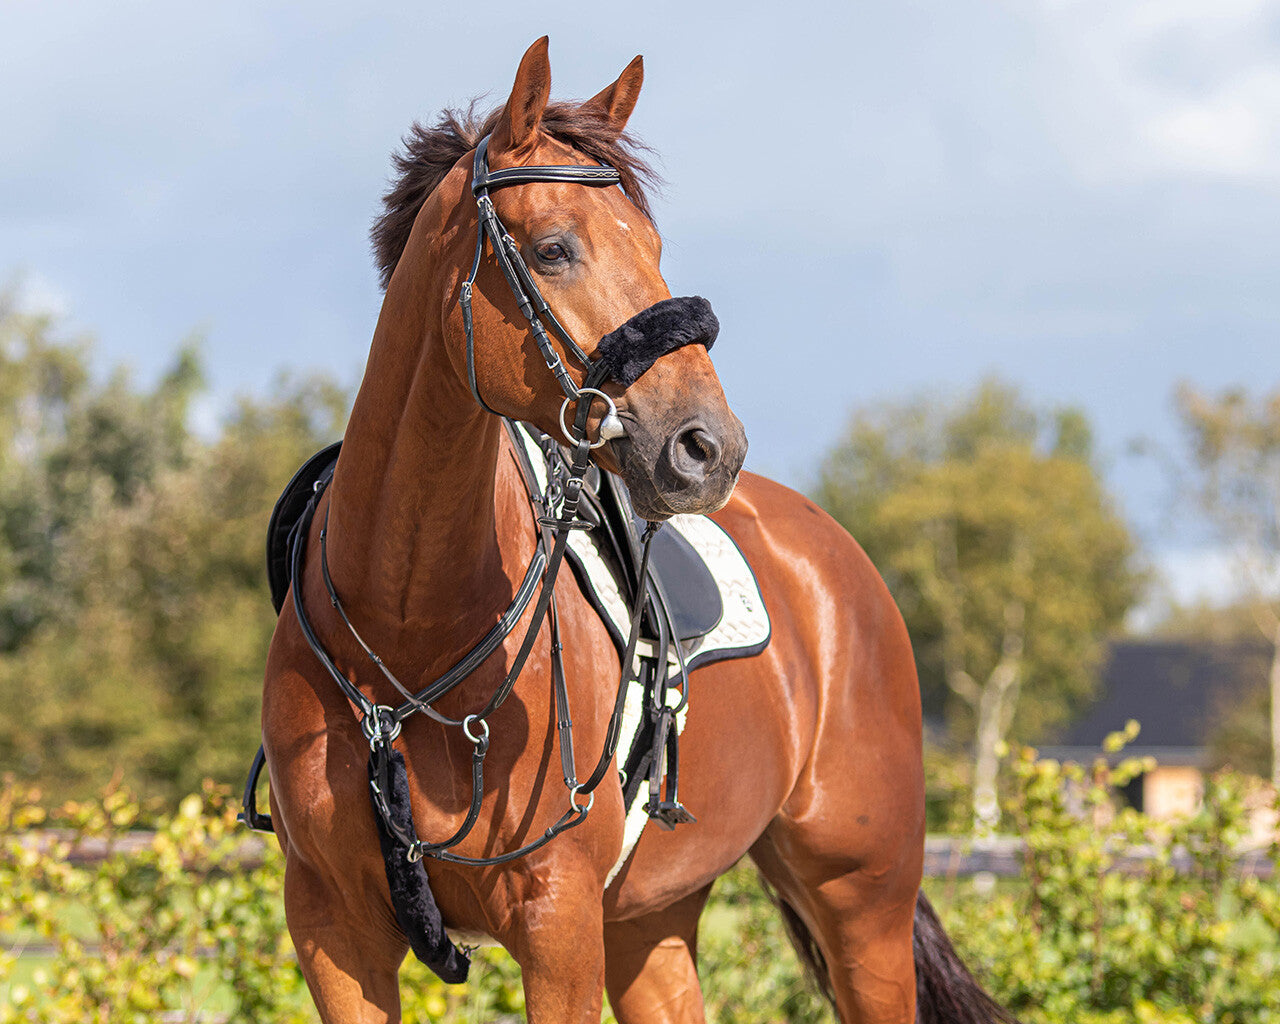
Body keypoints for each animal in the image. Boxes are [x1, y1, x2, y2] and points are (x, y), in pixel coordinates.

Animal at [259, 36, 1013, 1018]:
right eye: (552, 249)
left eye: (652, 245)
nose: (708, 447)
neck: (407, 636)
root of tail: (838, 561)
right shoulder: (336, 933)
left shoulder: (558, 922)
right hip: (651, 922)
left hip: (864, 908)